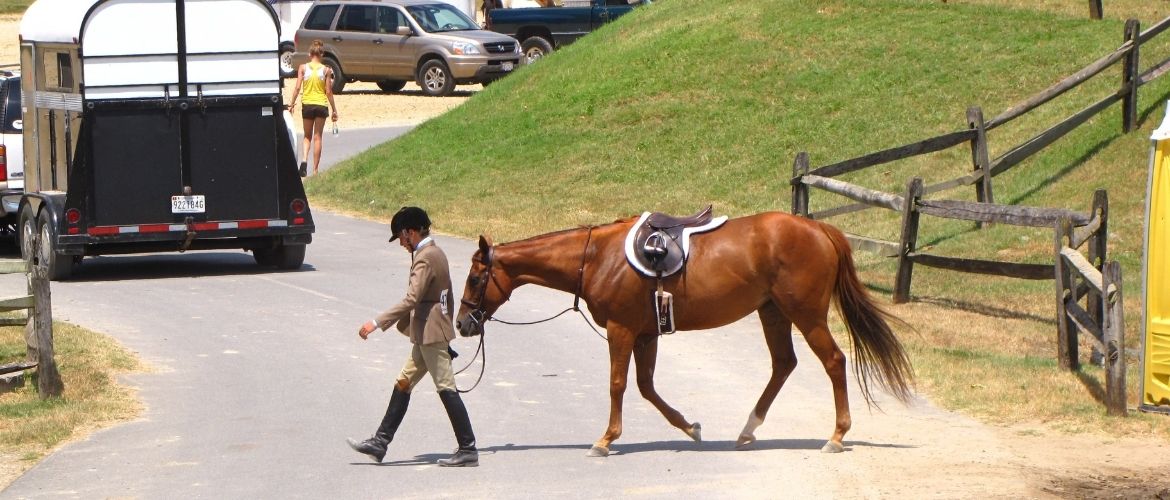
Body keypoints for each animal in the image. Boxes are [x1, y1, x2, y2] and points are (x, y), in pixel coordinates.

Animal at [456, 211, 912, 459]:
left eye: (476, 277)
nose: (462, 323)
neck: (597, 257)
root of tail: (819, 230)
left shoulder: (622, 331)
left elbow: (618, 384)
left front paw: (605, 440)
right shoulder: (646, 334)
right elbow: (646, 387)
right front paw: (690, 427)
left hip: (805, 314)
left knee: (833, 361)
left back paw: (836, 435)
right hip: (773, 313)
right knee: (784, 364)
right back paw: (748, 429)